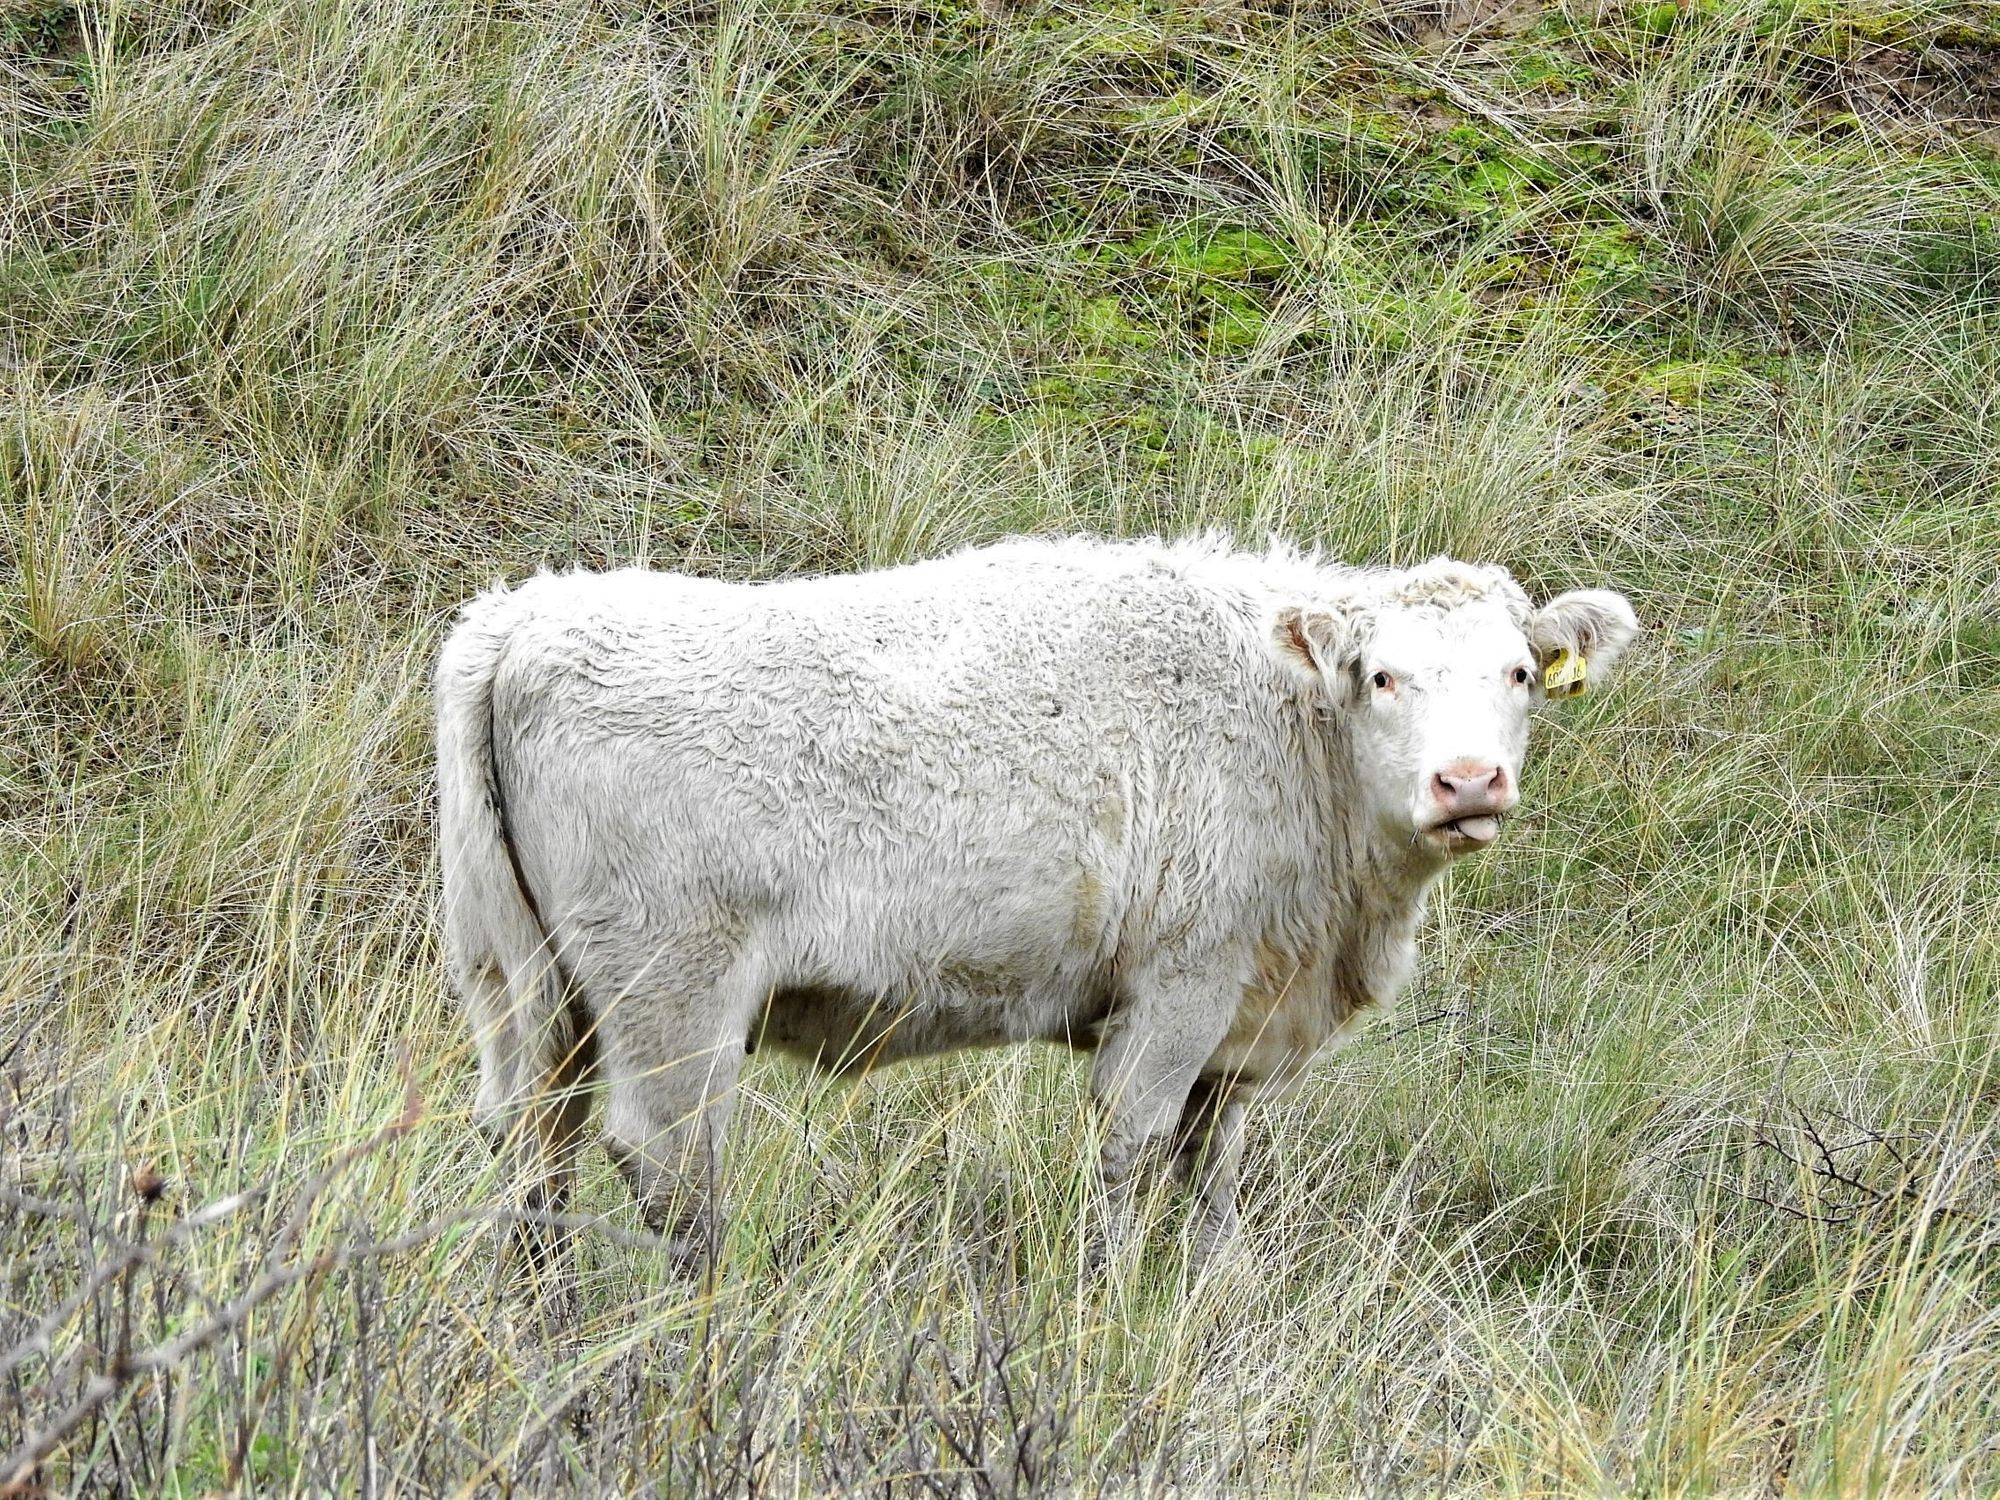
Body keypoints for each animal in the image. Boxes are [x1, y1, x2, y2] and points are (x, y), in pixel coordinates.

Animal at [435, 535, 1637, 1271]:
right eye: (1383, 676)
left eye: (1517, 673)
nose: (1468, 782)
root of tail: (527, 618)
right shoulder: (1182, 990)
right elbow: (1132, 1151)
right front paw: (1108, 1305)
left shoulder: (1237, 1029)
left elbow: (1214, 1172)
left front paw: (1211, 1289)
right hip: (672, 996)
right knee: (663, 1164)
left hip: (517, 986)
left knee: (529, 1150)